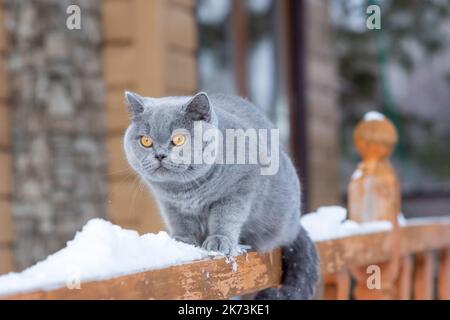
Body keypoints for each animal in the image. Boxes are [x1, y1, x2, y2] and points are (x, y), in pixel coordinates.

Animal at [123, 90, 320, 300]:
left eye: (178, 140)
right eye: (145, 141)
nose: (159, 155)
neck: (185, 190)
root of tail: (295, 226)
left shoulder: (240, 187)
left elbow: (226, 217)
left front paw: (219, 241)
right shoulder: (169, 204)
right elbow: (180, 222)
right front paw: (183, 241)